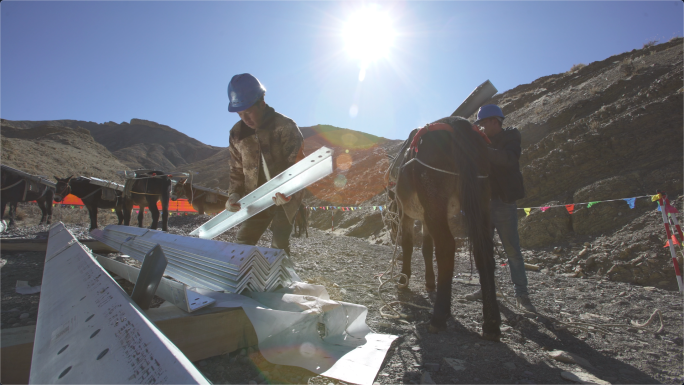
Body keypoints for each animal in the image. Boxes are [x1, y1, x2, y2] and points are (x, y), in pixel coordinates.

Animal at [392, 116, 500, 340]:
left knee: (446, 247)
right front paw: (429, 282)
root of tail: (456, 123)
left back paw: (439, 316)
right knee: (483, 250)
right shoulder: (425, 219)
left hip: (435, 199)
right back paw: (491, 322)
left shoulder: (408, 215)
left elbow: (409, 245)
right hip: (480, 199)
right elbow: (426, 248)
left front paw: (404, 279)